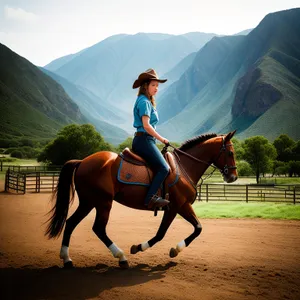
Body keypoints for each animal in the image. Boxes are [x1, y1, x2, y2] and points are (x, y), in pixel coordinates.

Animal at [45, 130, 237, 268]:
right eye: (230, 152)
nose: (233, 177)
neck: (184, 168)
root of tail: (83, 161)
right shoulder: (175, 207)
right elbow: (161, 234)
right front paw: (140, 247)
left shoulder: (183, 206)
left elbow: (198, 228)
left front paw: (175, 250)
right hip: (103, 202)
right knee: (98, 228)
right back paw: (121, 257)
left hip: (88, 202)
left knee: (70, 223)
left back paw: (67, 259)